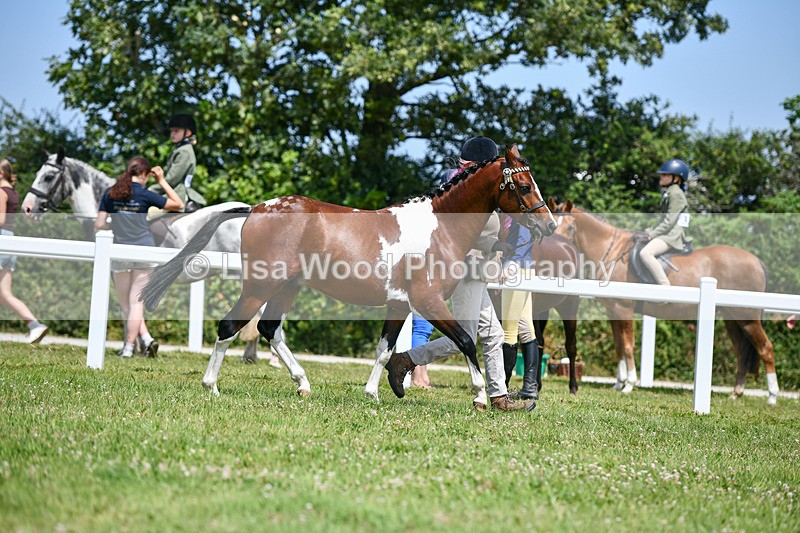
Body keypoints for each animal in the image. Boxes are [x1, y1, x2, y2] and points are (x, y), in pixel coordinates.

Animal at [21, 148, 267, 362]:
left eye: (49, 176)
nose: (27, 208)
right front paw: (142, 346)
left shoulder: (119, 271)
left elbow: (128, 308)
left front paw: (137, 346)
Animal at [141, 145, 557, 406]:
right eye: (523, 186)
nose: (549, 226)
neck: (439, 228)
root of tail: (257, 208)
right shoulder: (428, 301)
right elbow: (466, 342)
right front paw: (480, 396)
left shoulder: (400, 304)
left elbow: (385, 349)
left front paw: (374, 393)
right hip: (261, 284)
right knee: (230, 327)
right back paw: (211, 386)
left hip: (287, 287)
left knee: (269, 330)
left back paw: (303, 385)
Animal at [552, 199, 779, 404]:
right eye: (553, 223)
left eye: (570, 226)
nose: (558, 246)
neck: (612, 251)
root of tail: (757, 261)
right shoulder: (612, 311)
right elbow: (618, 347)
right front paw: (618, 383)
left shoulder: (624, 309)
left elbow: (628, 346)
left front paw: (629, 384)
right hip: (732, 317)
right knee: (741, 351)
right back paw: (736, 393)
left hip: (748, 317)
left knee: (766, 348)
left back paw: (772, 396)